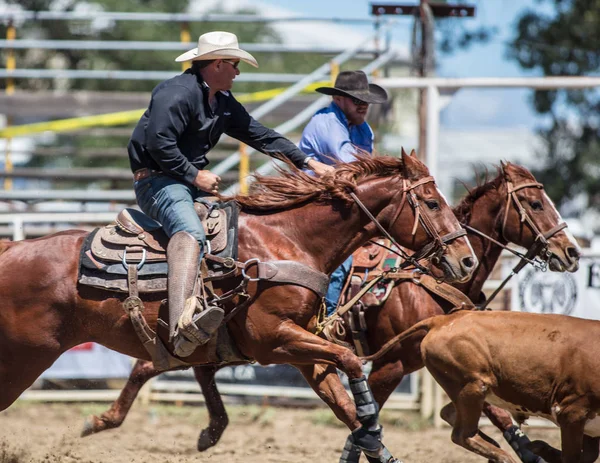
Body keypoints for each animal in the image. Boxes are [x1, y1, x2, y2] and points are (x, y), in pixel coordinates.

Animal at [1, 153, 478, 463]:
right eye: (432, 203)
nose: (467, 261)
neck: (287, 243)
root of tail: (11, 249)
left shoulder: (302, 350)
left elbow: (344, 402)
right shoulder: (274, 340)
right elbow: (349, 364)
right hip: (24, 358)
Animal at [82, 161, 580, 462]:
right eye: (534, 202)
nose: (572, 252)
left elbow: (496, 412)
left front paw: (530, 449)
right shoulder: (389, 364)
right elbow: (363, 416)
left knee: (191, 366)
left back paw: (204, 430)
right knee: (153, 364)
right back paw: (106, 420)